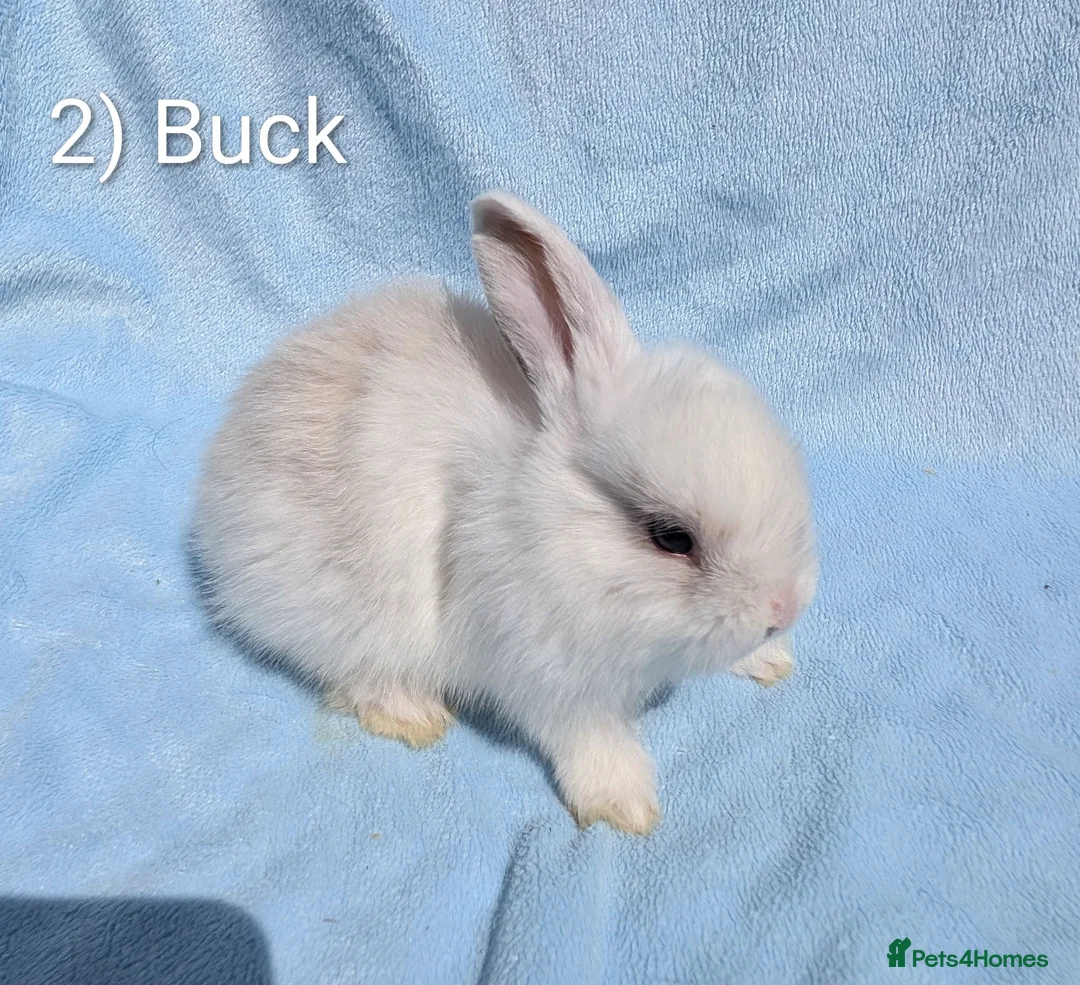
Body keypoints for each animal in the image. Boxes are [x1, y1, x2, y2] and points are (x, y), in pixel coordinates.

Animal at [193, 190, 819, 835]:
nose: (786, 607)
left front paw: (770, 660)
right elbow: (587, 737)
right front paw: (624, 803)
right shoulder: (545, 670)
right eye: (671, 538)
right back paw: (414, 715)